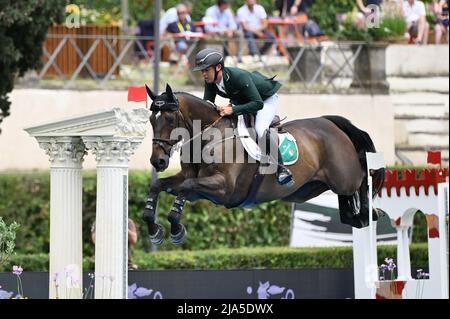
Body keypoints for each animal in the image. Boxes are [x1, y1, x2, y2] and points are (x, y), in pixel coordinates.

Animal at [142, 84, 384, 246]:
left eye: (170, 119)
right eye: (151, 120)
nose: (157, 161)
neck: (209, 135)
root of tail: (330, 123)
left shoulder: (224, 187)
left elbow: (186, 186)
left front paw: (176, 230)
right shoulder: (197, 187)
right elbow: (160, 185)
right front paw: (154, 231)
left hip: (344, 178)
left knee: (363, 177)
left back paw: (370, 210)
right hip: (307, 190)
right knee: (347, 208)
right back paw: (360, 214)